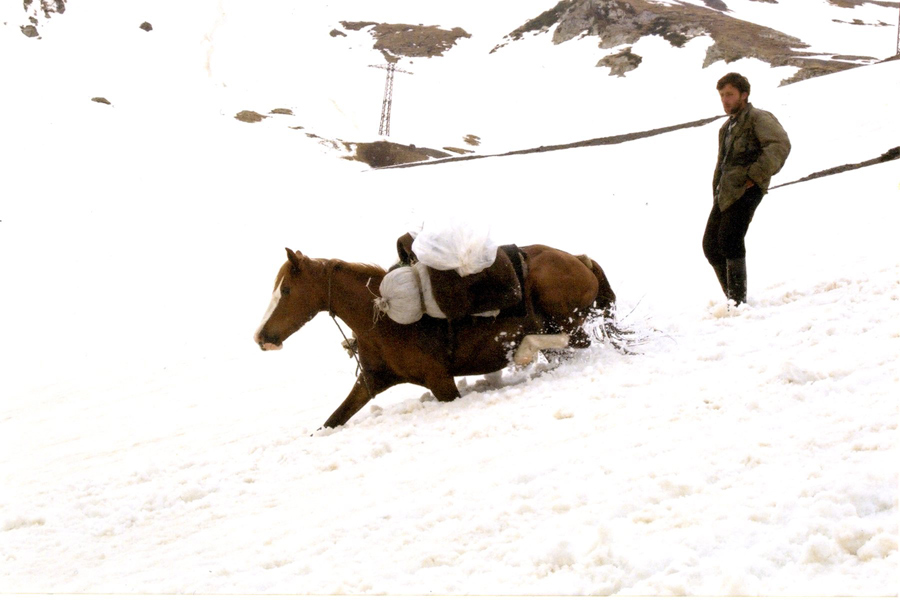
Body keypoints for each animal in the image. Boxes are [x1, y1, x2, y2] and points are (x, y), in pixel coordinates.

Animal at [256, 246, 616, 428]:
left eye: (286, 290)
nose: (262, 336)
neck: (382, 319)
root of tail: (580, 260)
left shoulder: (441, 382)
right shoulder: (371, 380)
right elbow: (333, 420)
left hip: (564, 319)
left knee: (572, 341)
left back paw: (522, 352)